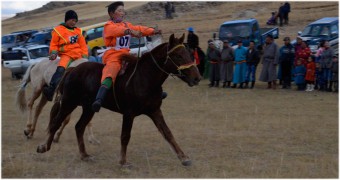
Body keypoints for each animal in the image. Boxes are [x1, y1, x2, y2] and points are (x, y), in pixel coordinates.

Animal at [36, 34, 202, 167]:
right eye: (178, 56)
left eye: (189, 53)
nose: (197, 78)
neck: (144, 78)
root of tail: (72, 70)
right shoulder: (129, 114)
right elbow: (125, 136)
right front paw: (123, 161)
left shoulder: (154, 111)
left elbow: (168, 133)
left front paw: (184, 158)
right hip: (68, 103)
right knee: (56, 122)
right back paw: (43, 147)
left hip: (89, 108)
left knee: (79, 127)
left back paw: (84, 155)